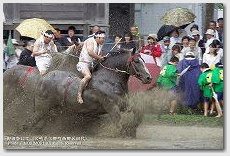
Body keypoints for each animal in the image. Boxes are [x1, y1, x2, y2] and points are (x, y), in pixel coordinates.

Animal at [3, 48, 153, 137]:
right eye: (137, 61)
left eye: (143, 60)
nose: (148, 77)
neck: (109, 80)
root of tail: (43, 79)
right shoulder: (112, 107)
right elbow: (119, 123)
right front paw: (124, 132)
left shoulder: (124, 104)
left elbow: (138, 112)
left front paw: (132, 129)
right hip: (41, 109)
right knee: (28, 123)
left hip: (50, 110)